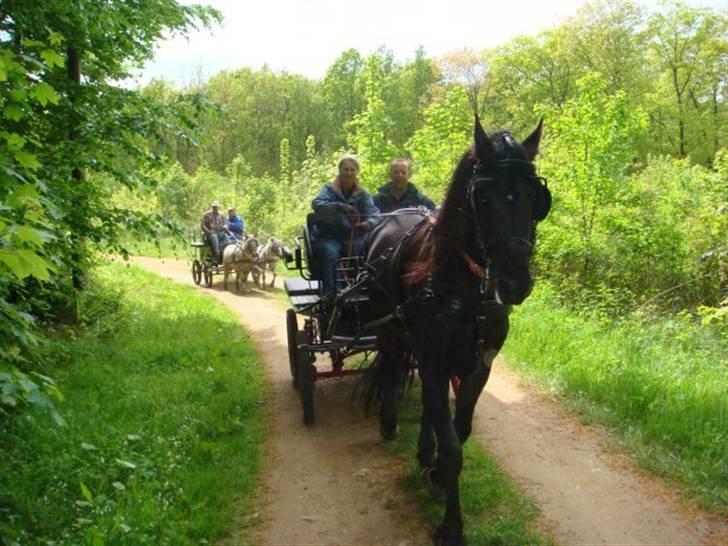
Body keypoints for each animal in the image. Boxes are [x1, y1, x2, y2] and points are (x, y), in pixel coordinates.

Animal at [366, 117, 548, 540]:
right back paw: (389, 420)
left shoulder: (478, 364)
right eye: (482, 198)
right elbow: (452, 446)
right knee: (391, 368)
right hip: (391, 331)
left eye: (536, 198)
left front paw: (434, 473)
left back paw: (422, 452)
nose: (515, 283)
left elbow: (459, 430)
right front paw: (451, 524)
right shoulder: (433, 360)